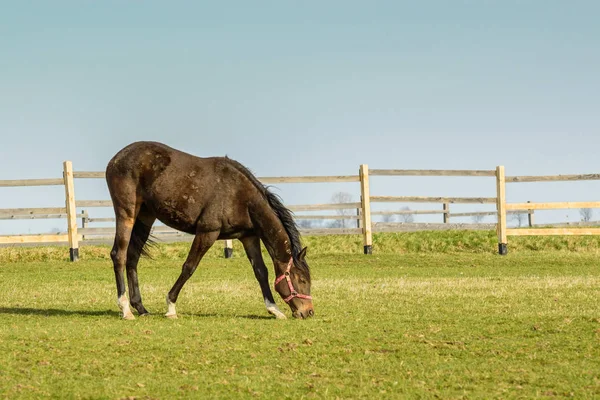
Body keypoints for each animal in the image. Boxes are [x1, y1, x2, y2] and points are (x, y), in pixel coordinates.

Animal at [105, 142, 314, 320]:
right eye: (302, 280)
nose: (308, 312)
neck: (240, 196)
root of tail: (115, 159)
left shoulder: (249, 237)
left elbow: (261, 271)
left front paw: (274, 309)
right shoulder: (207, 232)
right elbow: (189, 267)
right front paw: (171, 306)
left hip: (145, 217)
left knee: (133, 257)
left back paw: (140, 308)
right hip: (127, 214)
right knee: (119, 255)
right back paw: (125, 308)